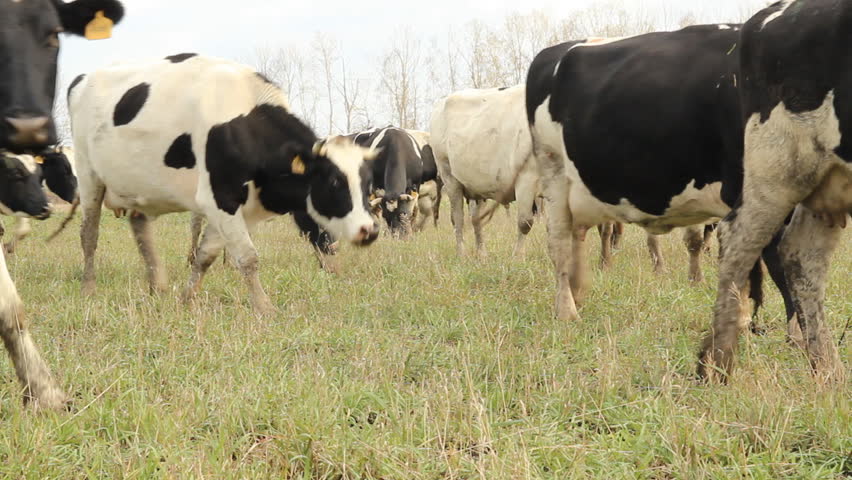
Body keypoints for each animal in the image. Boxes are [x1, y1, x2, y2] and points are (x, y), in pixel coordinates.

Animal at [68, 54, 380, 315]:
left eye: (367, 184)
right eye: (334, 182)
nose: (370, 230)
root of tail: (82, 78)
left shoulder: (233, 208)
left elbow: (205, 256)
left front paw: (187, 298)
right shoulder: (219, 198)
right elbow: (248, 258)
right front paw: (265, 308)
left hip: (141, 188)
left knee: (140, 226)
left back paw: (157, 285)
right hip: (88, 175)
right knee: (89, 234)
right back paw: (88, 288)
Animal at [526, 26, 797, 325]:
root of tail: (553, 52)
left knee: (578, 235)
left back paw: (578, 291)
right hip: (553, 173)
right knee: (560, 243)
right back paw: (567, 310)